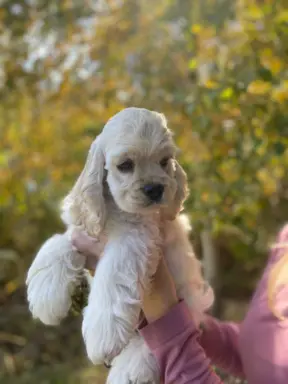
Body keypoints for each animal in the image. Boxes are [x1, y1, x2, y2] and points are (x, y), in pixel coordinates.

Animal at [25, 107, 213, 384]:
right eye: (125, 165)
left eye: (164, 161)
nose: (155, 189)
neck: (116, 210)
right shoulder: (84, 231)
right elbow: (58, 243)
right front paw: (46, 297)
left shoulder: (135, 238)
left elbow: (114, 275)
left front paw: (102, 334)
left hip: (189, 301)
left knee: (150, 342)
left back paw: (128, 371)